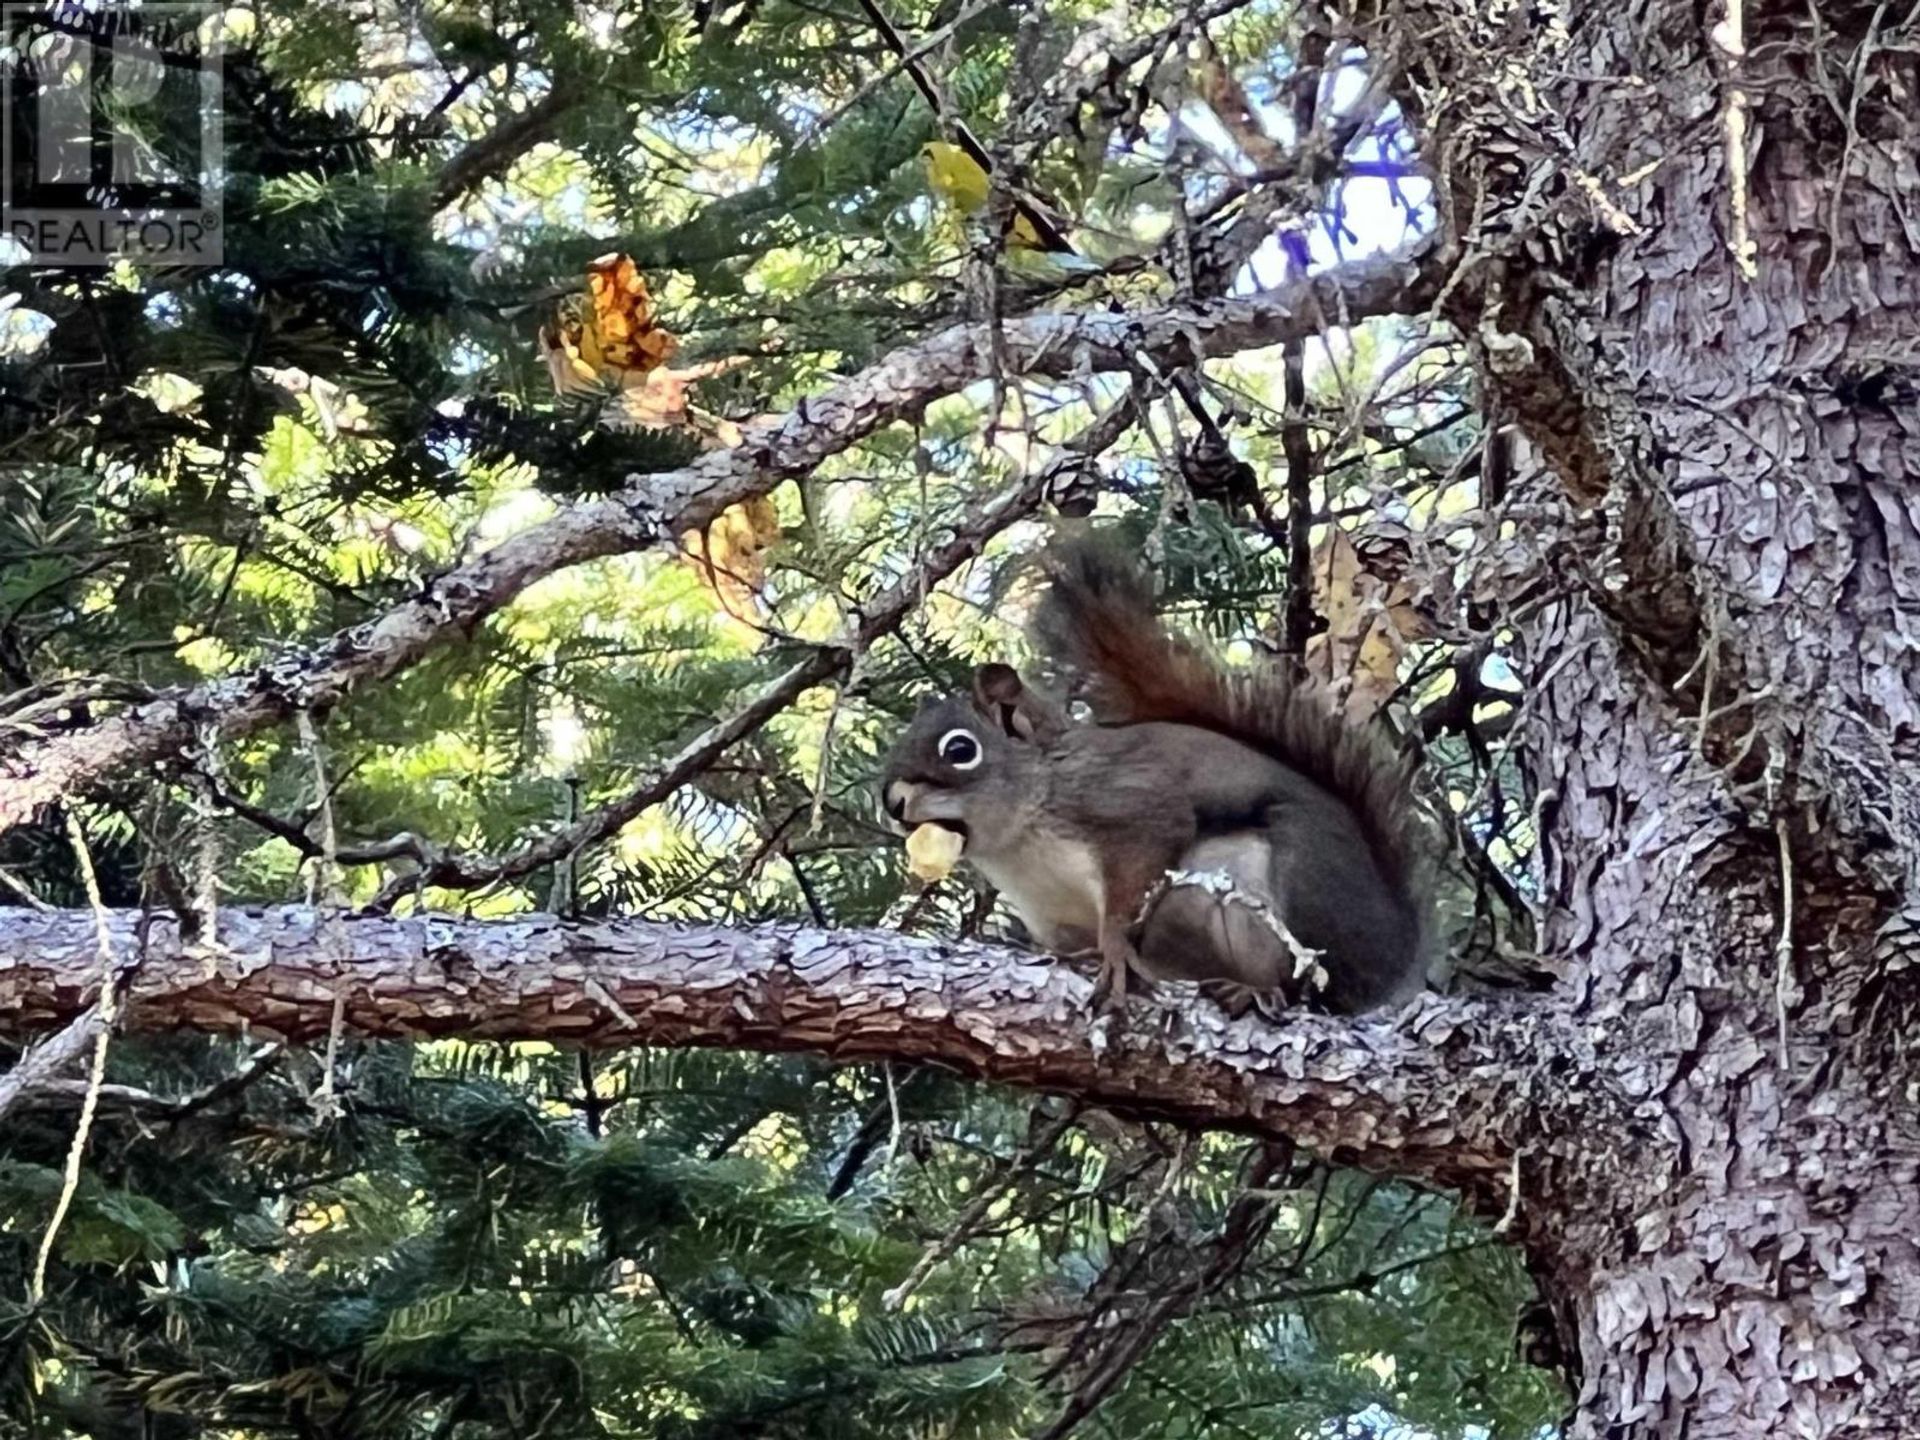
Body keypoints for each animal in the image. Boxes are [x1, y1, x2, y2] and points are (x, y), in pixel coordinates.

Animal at [879, 537, 1436, 1021]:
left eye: (960, 750)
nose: (892, 803)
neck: (1020, 845)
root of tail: (1393, 959)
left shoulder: (1122, 803)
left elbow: (1139, 872)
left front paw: (1116, 953)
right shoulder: (1055, 920)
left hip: (1290, 887)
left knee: (1309, 986)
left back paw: (1256, 990)